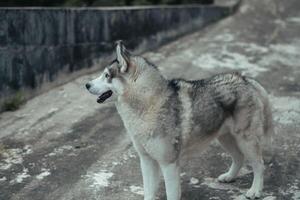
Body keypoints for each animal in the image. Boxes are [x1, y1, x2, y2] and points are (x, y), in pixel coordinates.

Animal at [85, 41, 274, 199]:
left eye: (106, 75)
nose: (86, 85)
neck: (149, 103)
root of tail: (247, 80)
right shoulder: (147, 161)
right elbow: (148, 192)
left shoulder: (169, 165)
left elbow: (171, 194)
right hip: (225, 138)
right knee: (239, 158)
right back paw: (229, 177)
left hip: (246, 140)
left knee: (259, 165)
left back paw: (255, 191)